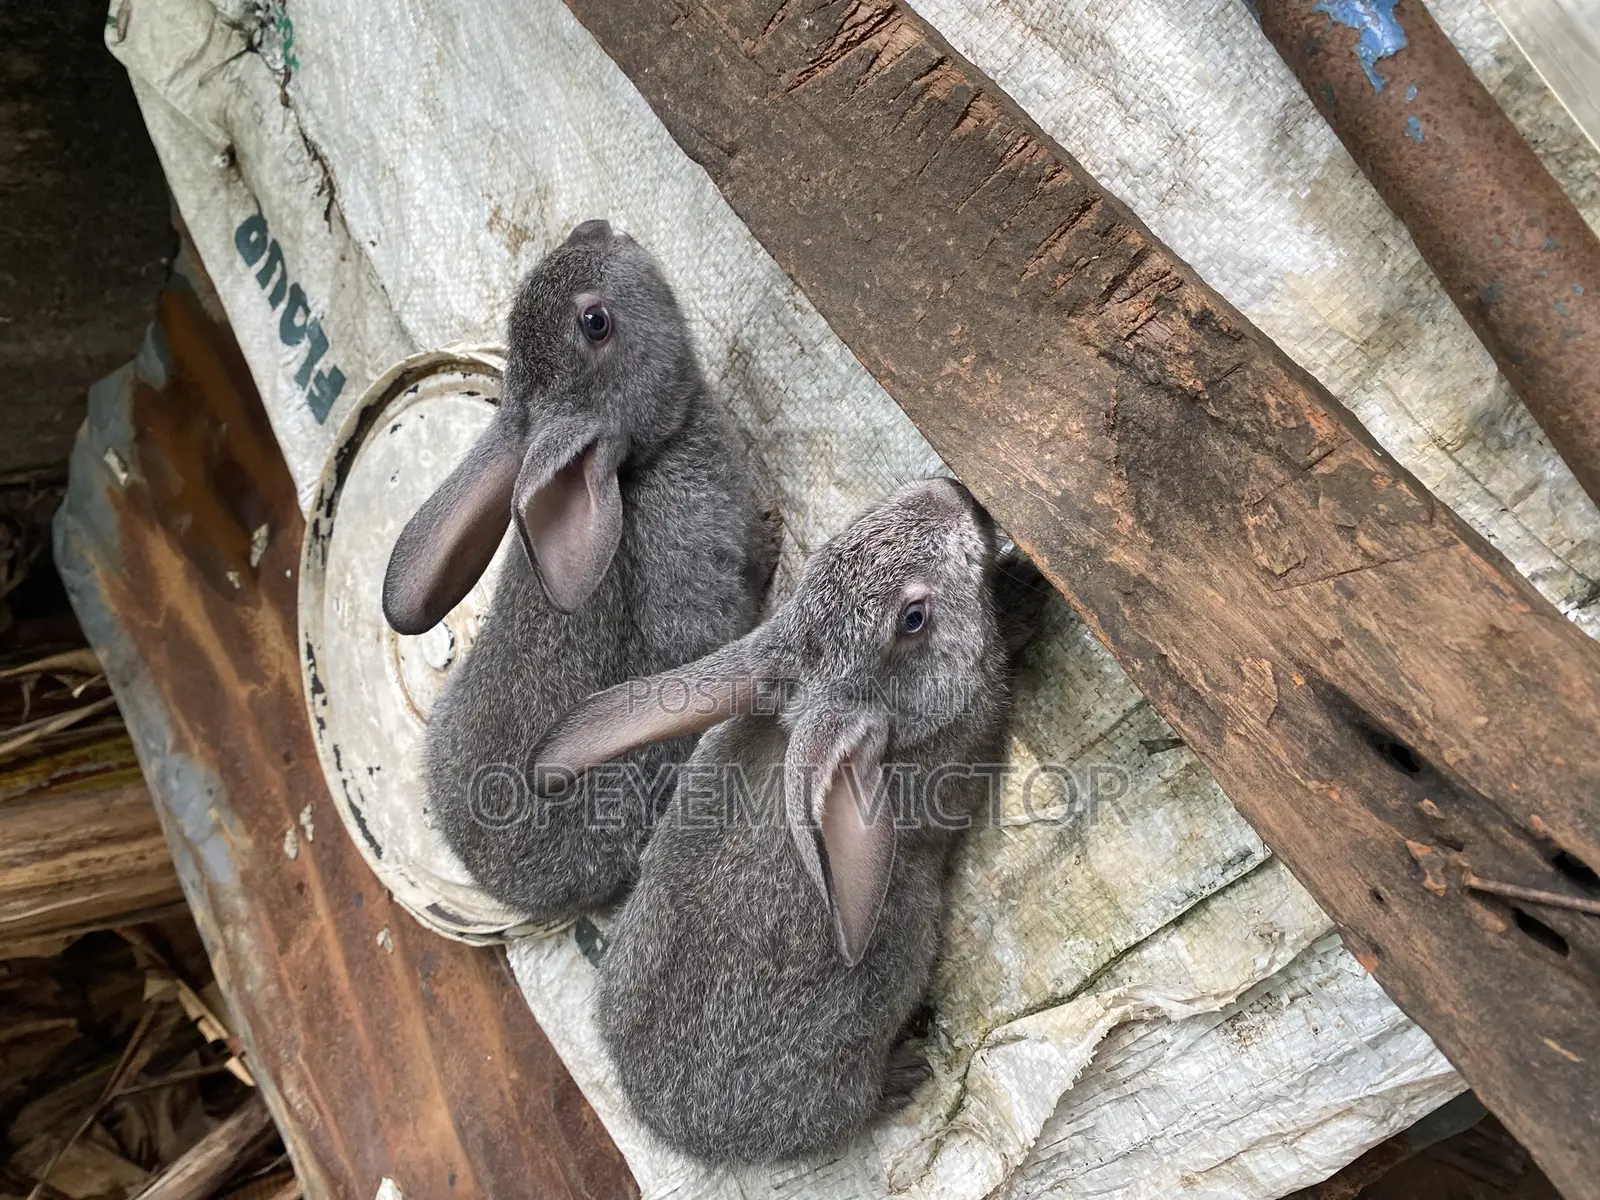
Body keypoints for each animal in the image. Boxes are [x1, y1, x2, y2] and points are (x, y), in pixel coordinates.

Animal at [532, 477, 1046, 1164]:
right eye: (913, 617)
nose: (953, 492)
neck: (900, 724)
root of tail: (678, 1129)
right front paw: (1023, 600)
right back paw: (903, 1072)